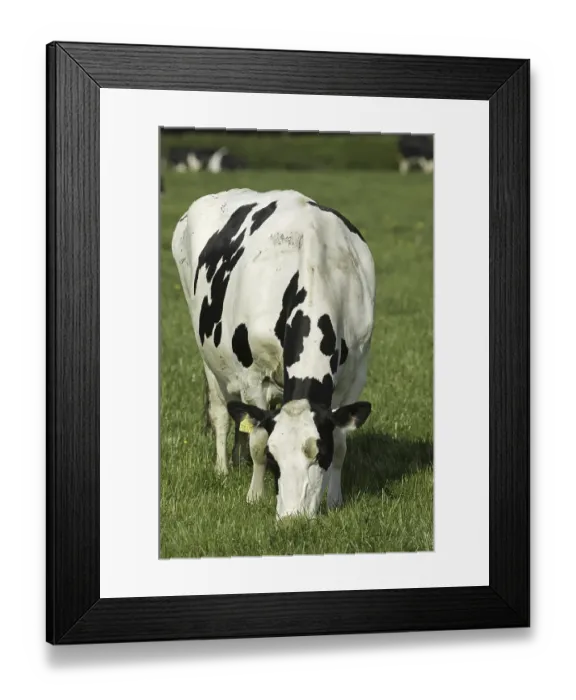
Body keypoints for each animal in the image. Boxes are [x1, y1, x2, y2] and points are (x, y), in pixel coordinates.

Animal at [172, 188, 376, 519]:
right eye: (274, 456)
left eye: (320, 454)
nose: (293, 518)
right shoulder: (253, 376)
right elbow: (257, 437)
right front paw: (255, 495)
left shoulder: (354, 375)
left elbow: (342, 441)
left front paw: (335, 499)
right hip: (209, 356)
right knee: (222, 412)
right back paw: (223, 469)